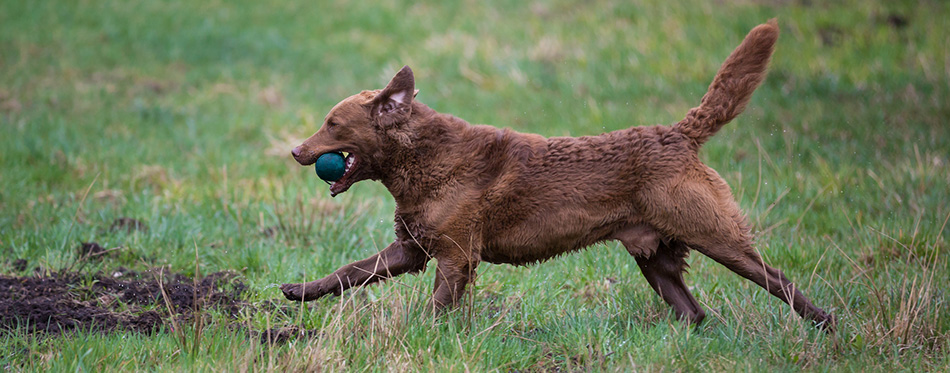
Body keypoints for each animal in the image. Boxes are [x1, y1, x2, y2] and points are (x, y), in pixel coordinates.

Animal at [284, 20, 840, 328]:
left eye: (332, 123)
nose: (294, 150)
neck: (423, 160)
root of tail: (679, 133)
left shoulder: (456, 255)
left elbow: (437, 305)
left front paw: (419, 336)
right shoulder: (411, 249)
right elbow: (351, 272)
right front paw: (298, 291)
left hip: (714, 233)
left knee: (779, 281)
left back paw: (827, 325)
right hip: (655, 256)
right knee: (694, 313)